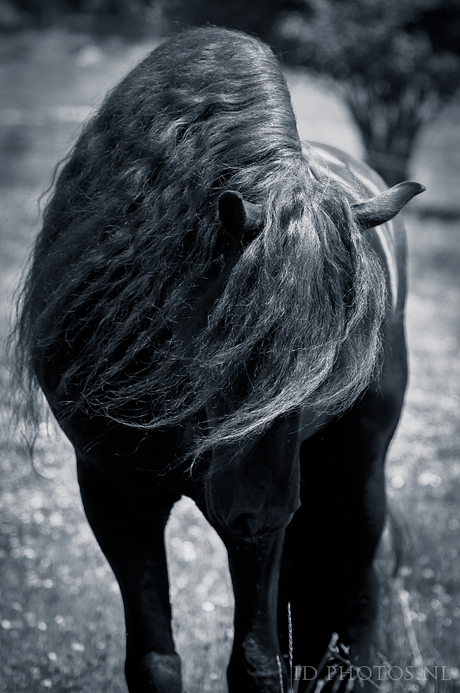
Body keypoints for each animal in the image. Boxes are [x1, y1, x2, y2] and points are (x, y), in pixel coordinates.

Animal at [11, 24, 424, 688]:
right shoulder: (114, 493)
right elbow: (155, 662)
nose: (262, 511)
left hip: (358, 464)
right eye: (235, 336)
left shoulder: (260, 525)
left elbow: (254, 663)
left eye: (337, 364)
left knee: (359, 585)